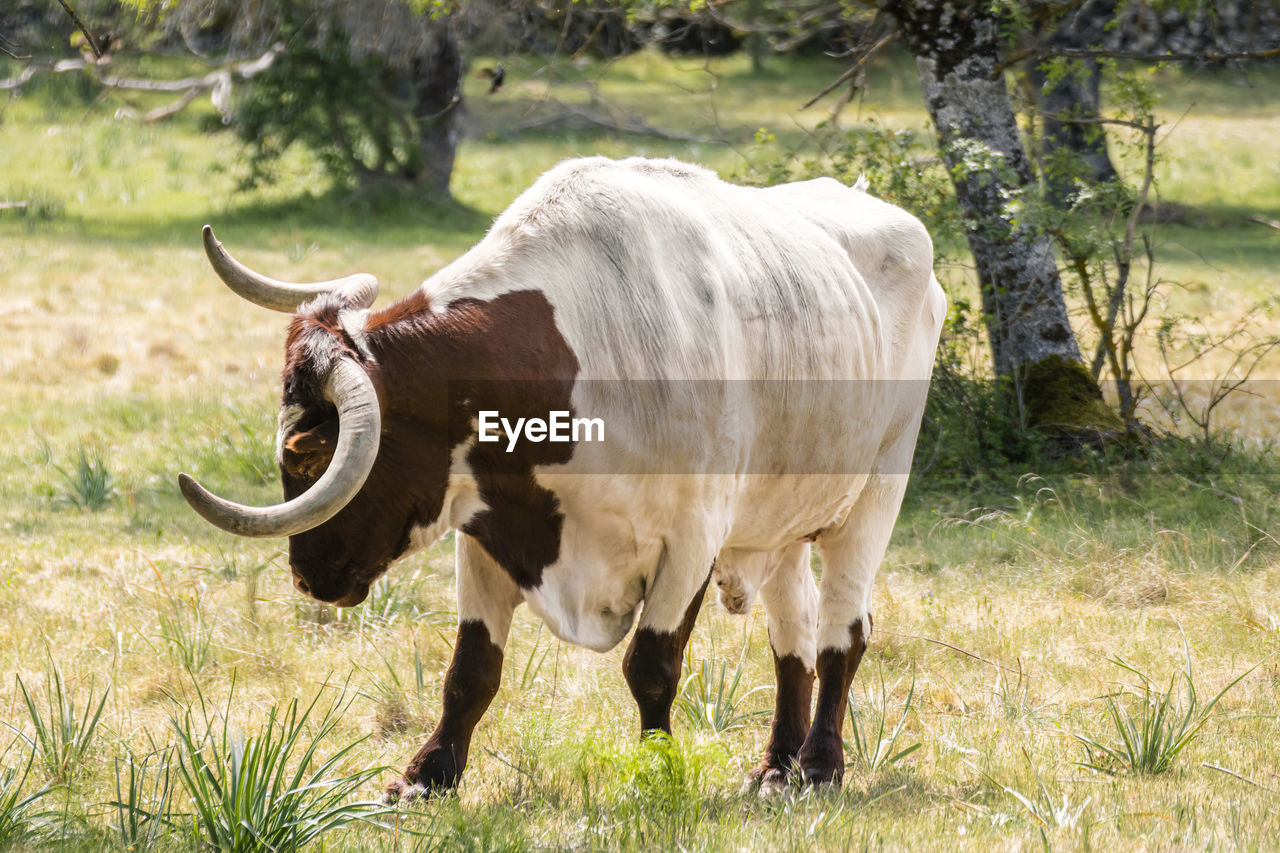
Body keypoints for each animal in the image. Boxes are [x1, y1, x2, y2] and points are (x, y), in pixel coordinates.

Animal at [177, 156, 946, 799]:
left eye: (306, 454)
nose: (308, 577)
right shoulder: (487, 531)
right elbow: (471, 671)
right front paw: (428, 776)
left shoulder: (690, 543)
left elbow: (651, 668)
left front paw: (657, 773)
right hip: (779, 522)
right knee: (795, 636)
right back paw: (776, 765)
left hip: (878, 489)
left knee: (842, 631)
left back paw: (818, 766)